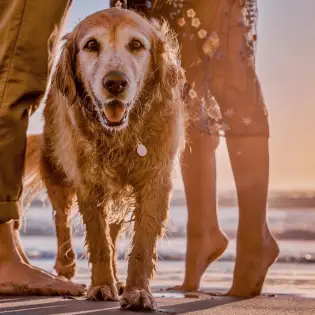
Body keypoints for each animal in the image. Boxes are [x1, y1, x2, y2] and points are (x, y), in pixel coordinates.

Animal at [25, 8, 186, 312]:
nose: (115, 83)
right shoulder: (89, 182)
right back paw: (65, 265)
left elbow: (142, 244)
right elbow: (98, 239)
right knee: (61, 216)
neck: (119, 135)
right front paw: (100, 286)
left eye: (136, 44)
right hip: (56, 167)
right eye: (91, 45)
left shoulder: (156, 180)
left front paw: (138, 292)